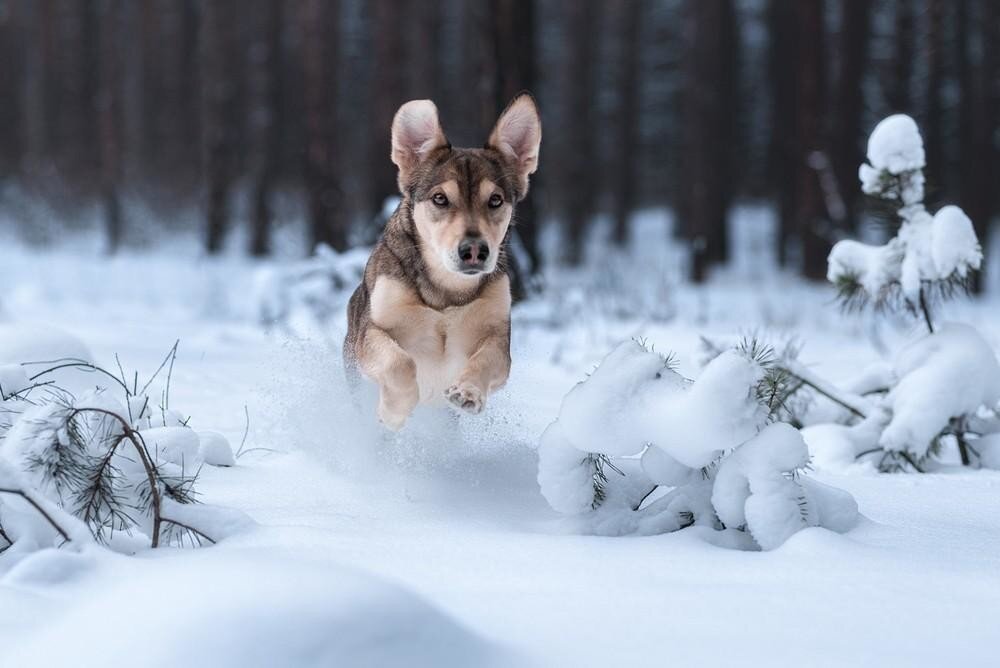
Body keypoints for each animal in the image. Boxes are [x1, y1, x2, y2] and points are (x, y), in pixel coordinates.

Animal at [348, 94, 544, 430]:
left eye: (495, 200)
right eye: (440, 198)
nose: (475, 250)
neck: (446, 293)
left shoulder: (497, 331)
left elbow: (486, 359)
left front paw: (468, 392)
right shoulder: (372, 328)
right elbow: (399, 361)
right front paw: (395, 410)